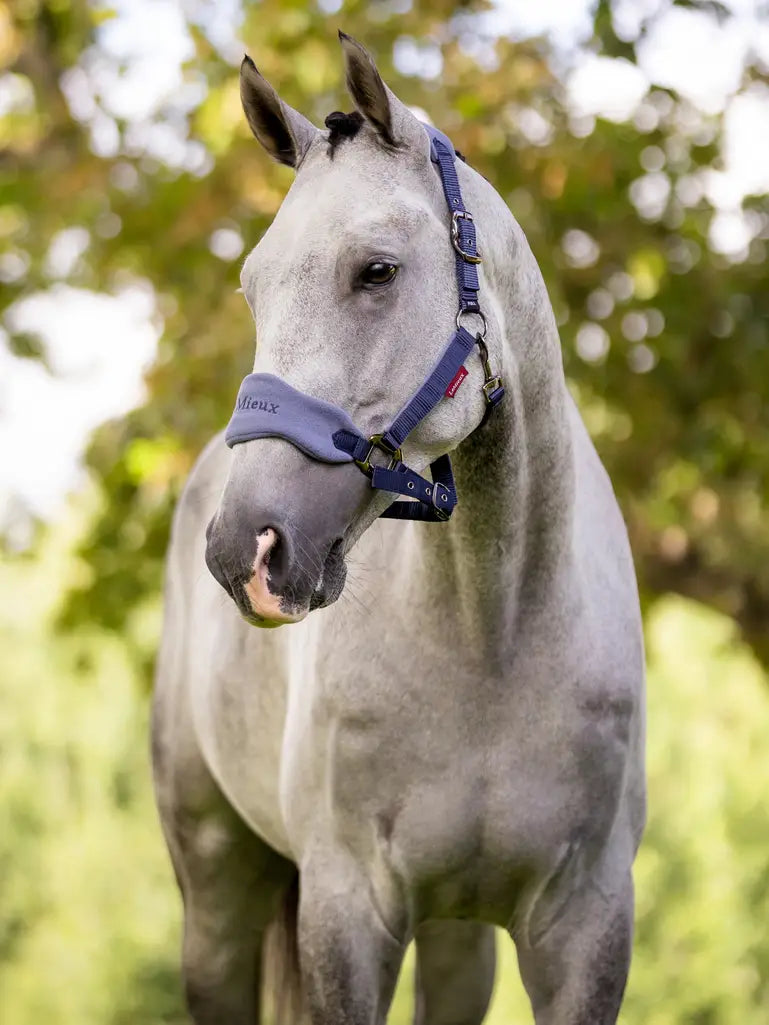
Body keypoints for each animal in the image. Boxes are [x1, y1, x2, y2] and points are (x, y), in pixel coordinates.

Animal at [153, 32, 648, 1025]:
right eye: (253, 289)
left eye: (375, 270)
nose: (245, 548)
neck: (493, 637)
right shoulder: (348, 913)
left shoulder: (586, 927)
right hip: (217, 900)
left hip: (457, 935)